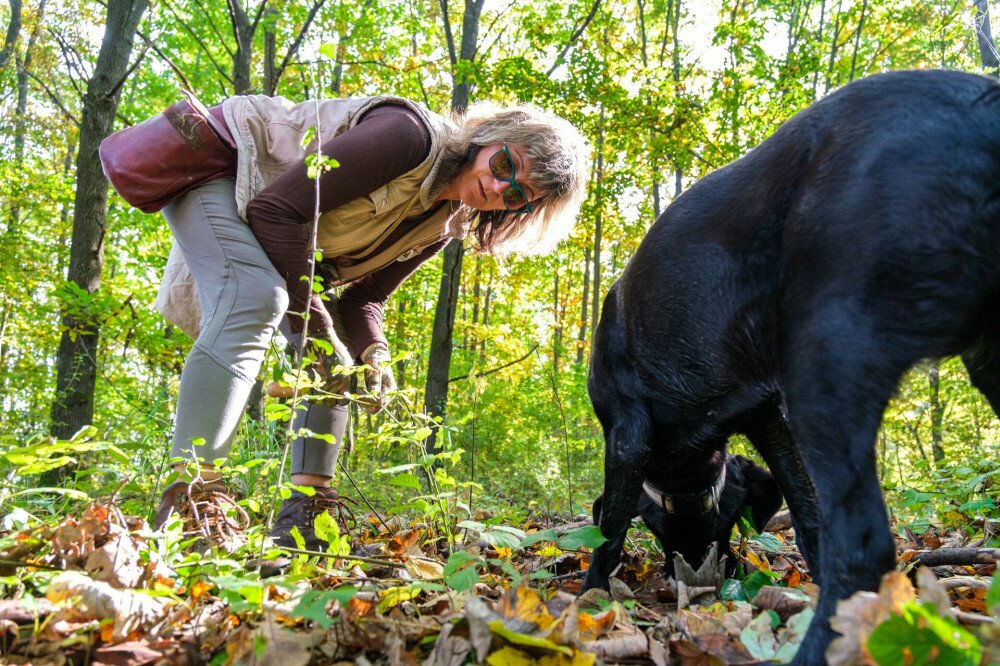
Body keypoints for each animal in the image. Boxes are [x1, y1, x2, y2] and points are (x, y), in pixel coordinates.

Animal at [580, 70, 1000, 660]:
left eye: (714, 530)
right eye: (684, 533)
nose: (701, 582)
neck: (691, 456)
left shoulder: (627, 430)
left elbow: (610, 530)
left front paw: (588, 599)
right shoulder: (766, 418)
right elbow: (807, 518)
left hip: (826, 361)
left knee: (866, 545)